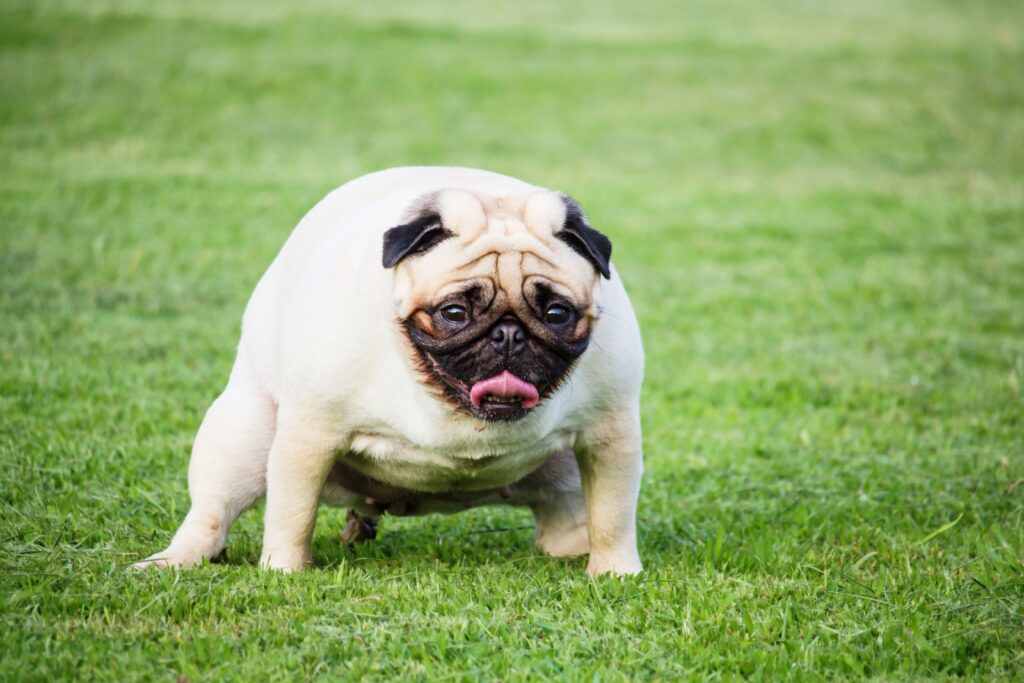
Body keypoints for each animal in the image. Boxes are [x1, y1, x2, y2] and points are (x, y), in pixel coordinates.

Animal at [138, 166, 638, 577]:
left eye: (556, 313)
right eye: (454, 312)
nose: (509, 335)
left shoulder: (610, 436)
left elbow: (613, 515)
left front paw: (614, 573)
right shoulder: (309, 436)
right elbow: (291, 512)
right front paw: (284, 571)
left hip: (565, 474)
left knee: (567, 515)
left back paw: (575, 547)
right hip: (243, 438)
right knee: (212, 512)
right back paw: (173, 560)